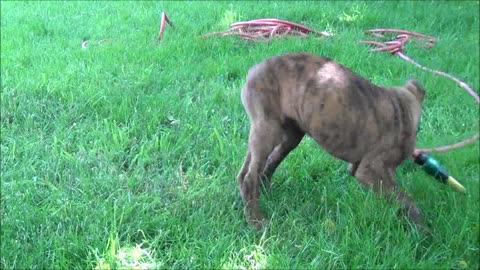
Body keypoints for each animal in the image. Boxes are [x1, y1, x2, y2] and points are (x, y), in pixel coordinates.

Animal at [236, 53, 424, 230]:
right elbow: (405, 199)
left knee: (258, 168)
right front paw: (422, 231)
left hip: (288, 136)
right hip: (268, 129)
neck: (401, 111)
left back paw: (265, 198)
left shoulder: (366, 169)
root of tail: (255, 69)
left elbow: (396, 196)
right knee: (249, 177)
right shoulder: (369, 169)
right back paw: (257, 221)